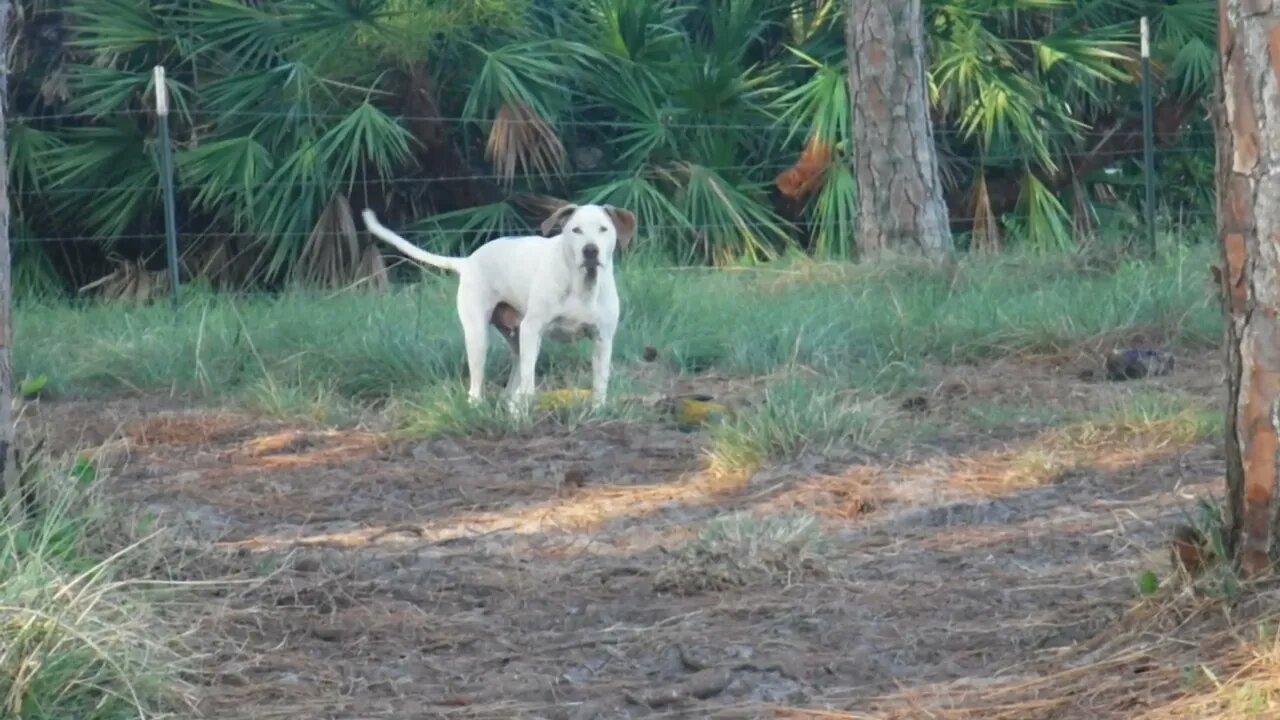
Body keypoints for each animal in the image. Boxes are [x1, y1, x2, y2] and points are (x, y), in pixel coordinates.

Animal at [360, 204, 634, 409]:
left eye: (603, 229)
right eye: (576, 230)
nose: (590, 250)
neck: (582, 285)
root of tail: (468, 261)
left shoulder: (602, 339)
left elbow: (600, 382)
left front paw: (597, 412)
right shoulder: (532, 328)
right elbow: (529, 382)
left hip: (517, 337)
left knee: (515, 374)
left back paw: (510, 402)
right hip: (480, 336)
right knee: (479, 386)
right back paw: (481, 407)